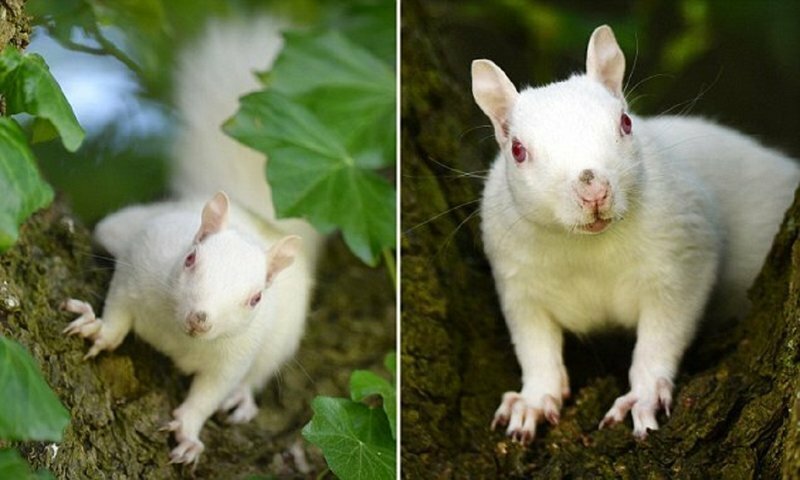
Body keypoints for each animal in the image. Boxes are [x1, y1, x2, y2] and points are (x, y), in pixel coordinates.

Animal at [61, 18, 318, 464]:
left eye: (256, 298)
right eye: (190, 259)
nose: (201, 318)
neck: (176, 334)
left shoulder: (233, 356)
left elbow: (209, 393)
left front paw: (188, 432)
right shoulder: (141, 264)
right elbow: (118, 310)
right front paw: (99, 329)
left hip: (281, 340)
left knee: (255, 375)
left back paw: (243, 400)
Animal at [472, 25, 800, 446]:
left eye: (626, 123)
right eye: (517, 150)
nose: (593, 189)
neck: (587, 246)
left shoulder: (683, 251)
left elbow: (664, 330)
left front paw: (642, 397)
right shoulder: (517, 280)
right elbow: (534, 342)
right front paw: (532, 400)